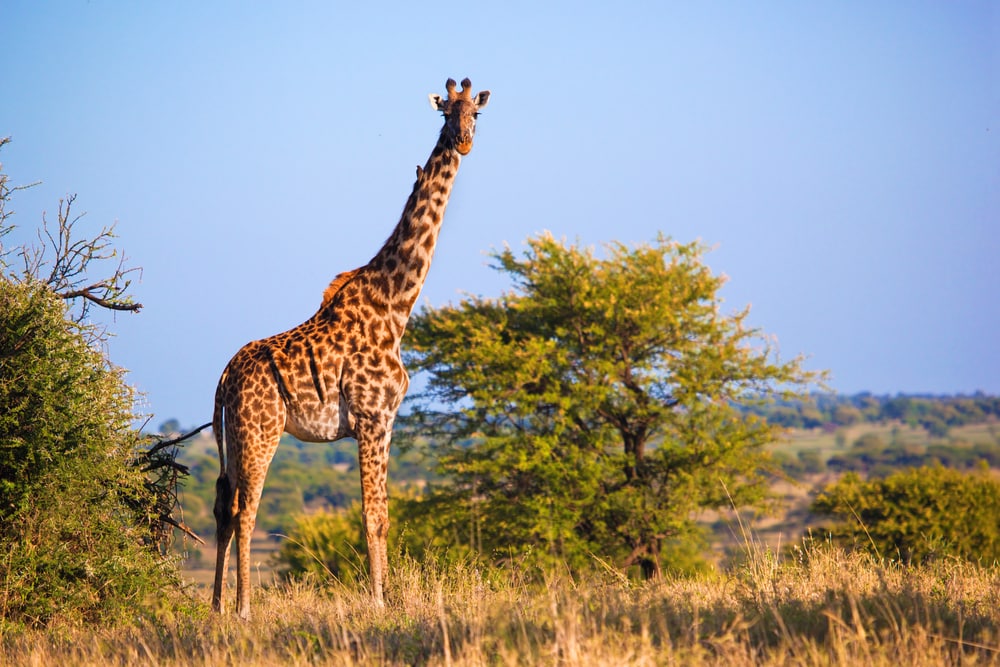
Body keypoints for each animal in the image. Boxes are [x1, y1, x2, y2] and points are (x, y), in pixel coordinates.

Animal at [213, 79, 490, 620]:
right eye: (446, 113)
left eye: (478, 114)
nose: (464, 142)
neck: (396, 305)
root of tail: (222, 379)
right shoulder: (371, 417)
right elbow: (372, 515)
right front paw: (380, 602)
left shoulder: (387, 421)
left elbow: (381, 514)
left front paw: (386, 596)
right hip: (260, 432)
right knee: (245, 510)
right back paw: (243, 609)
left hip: (232, 437)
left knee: (222, 506)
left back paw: (215, 606)